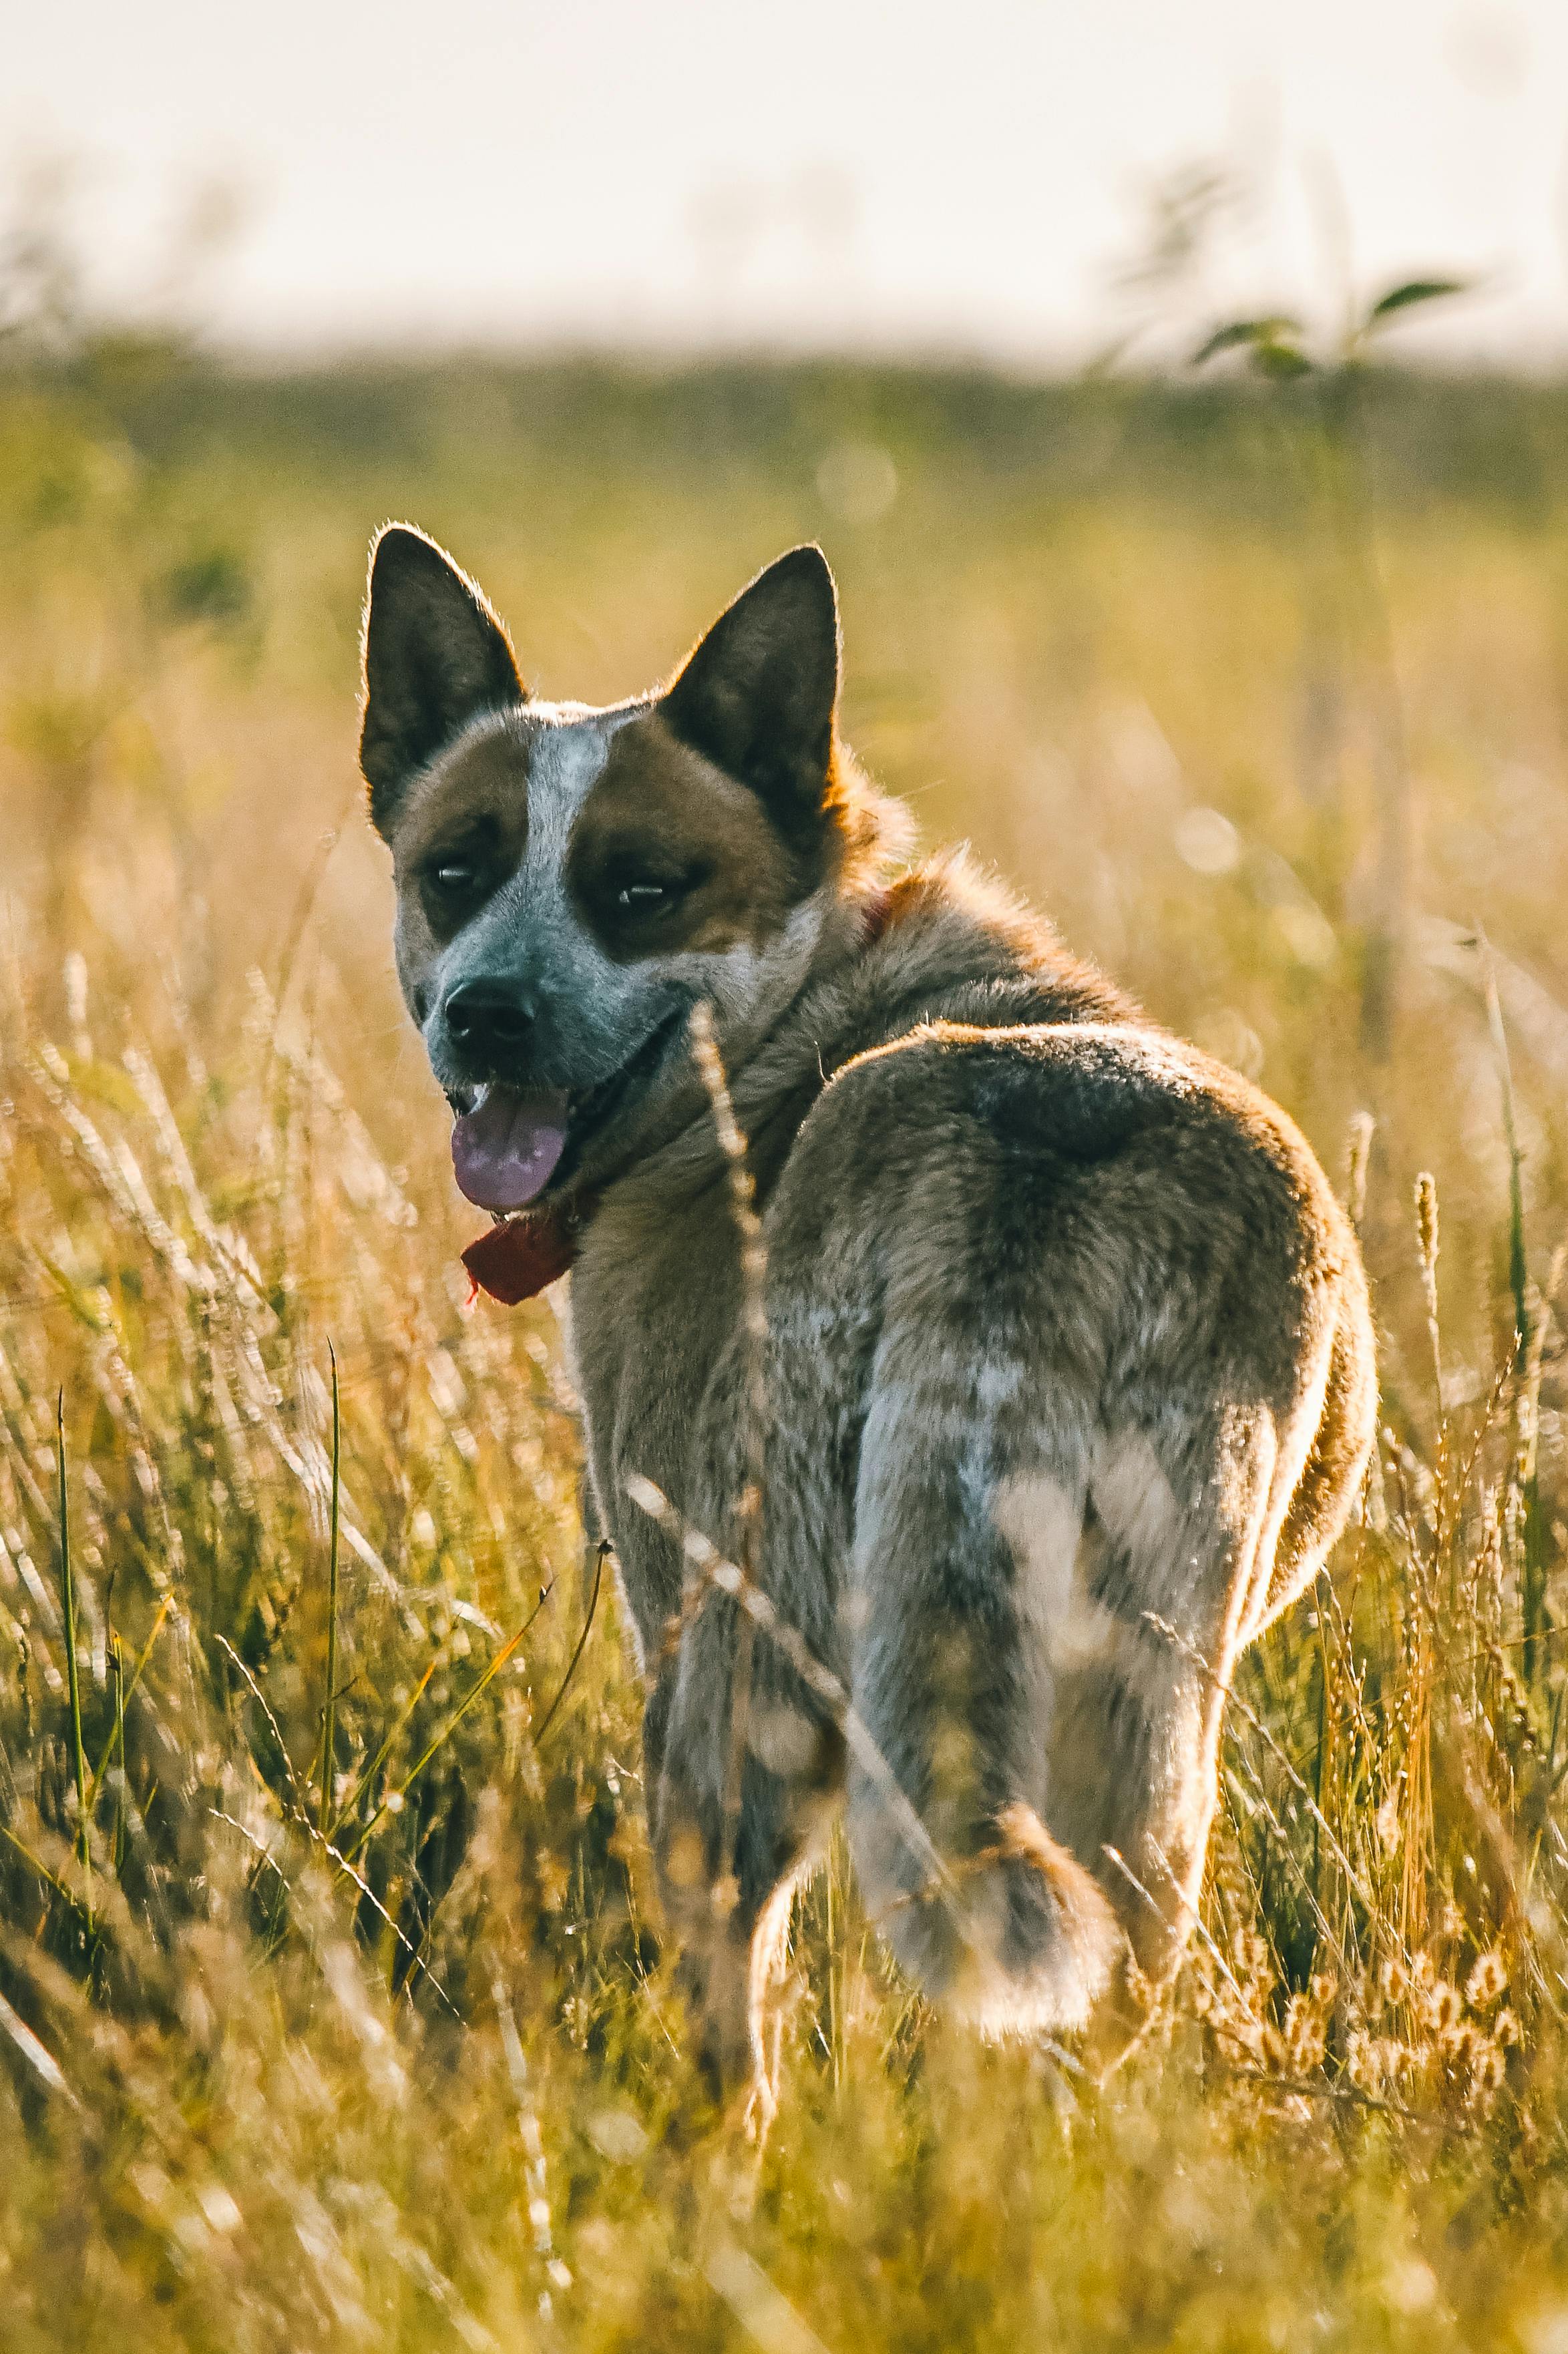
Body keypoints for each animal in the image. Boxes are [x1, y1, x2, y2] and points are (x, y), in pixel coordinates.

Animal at [357, 525, 1365, 2109]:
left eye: (642, 888)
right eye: (454, 871)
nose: (488, 1015)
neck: (792, 1026)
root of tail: (1017, 1164)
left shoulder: (676, 1599)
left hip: (740, 1690)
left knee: (734, 2027)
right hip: (1138, 1727)